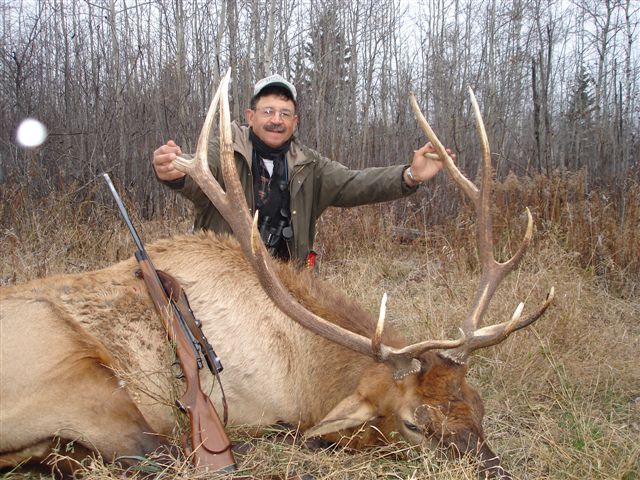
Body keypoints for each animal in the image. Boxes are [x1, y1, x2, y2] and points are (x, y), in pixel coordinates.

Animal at [0, 69, 553, 478]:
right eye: (415, 425)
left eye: (478, 407)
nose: (497, 472)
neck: (305, 375)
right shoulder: (252, 409)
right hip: (83, 376)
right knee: (154, 452)